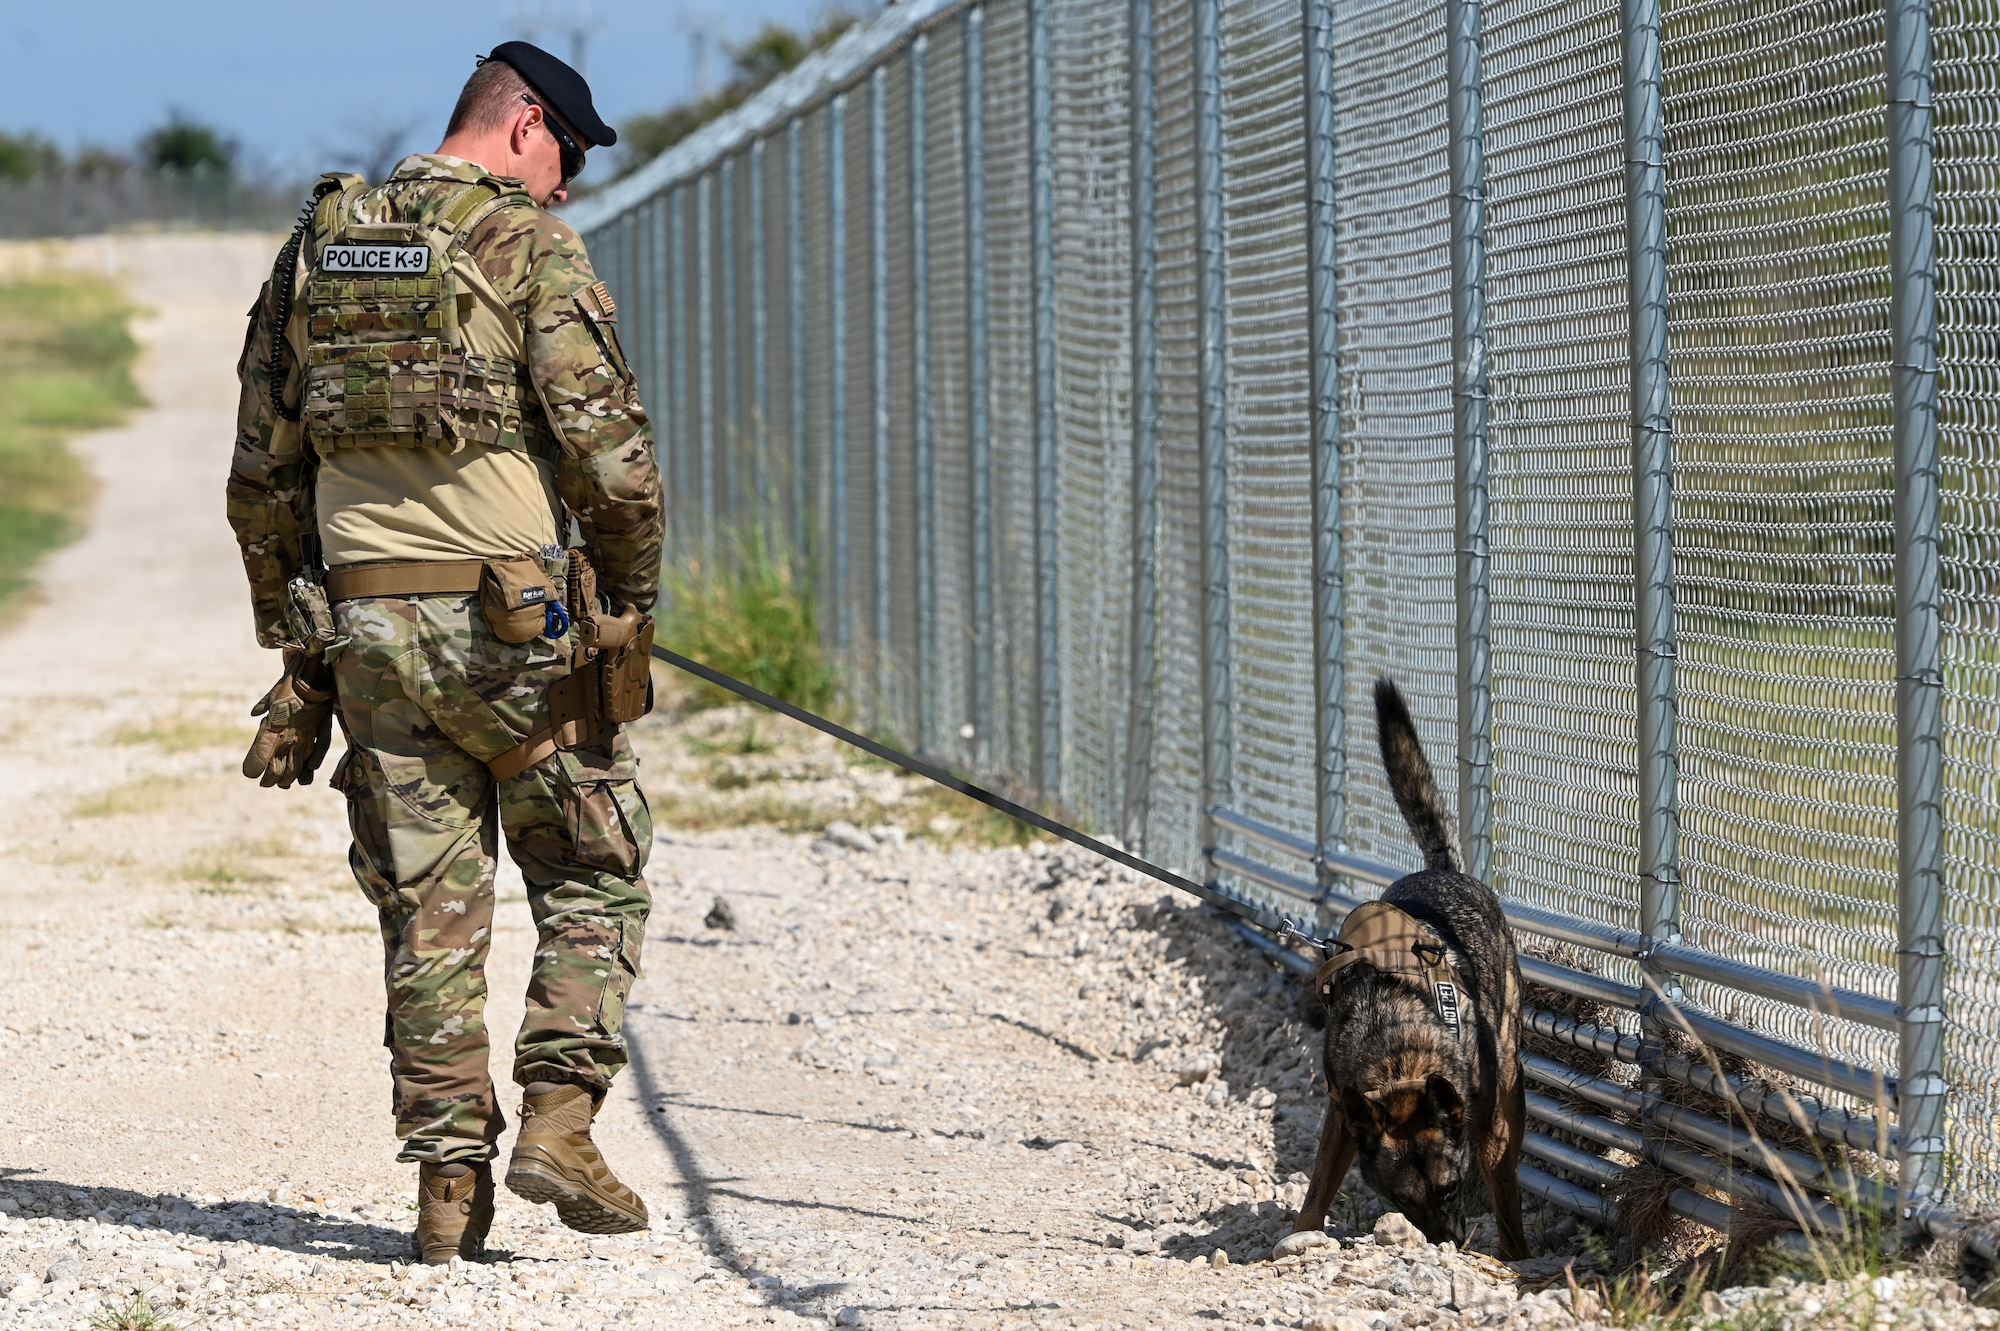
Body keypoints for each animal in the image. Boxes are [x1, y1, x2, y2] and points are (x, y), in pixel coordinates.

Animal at [1288, 679, 1520, 1247]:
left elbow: (1507, 1206)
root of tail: (1445, 871)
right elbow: (1315, 1196)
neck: (1400, 1059)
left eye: (1451, 1190)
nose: (1447, 1245)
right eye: (1403, 1203)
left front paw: (1516, 1258)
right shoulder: (1342, 1120)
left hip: (1509, 1082)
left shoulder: (1487, 1129)